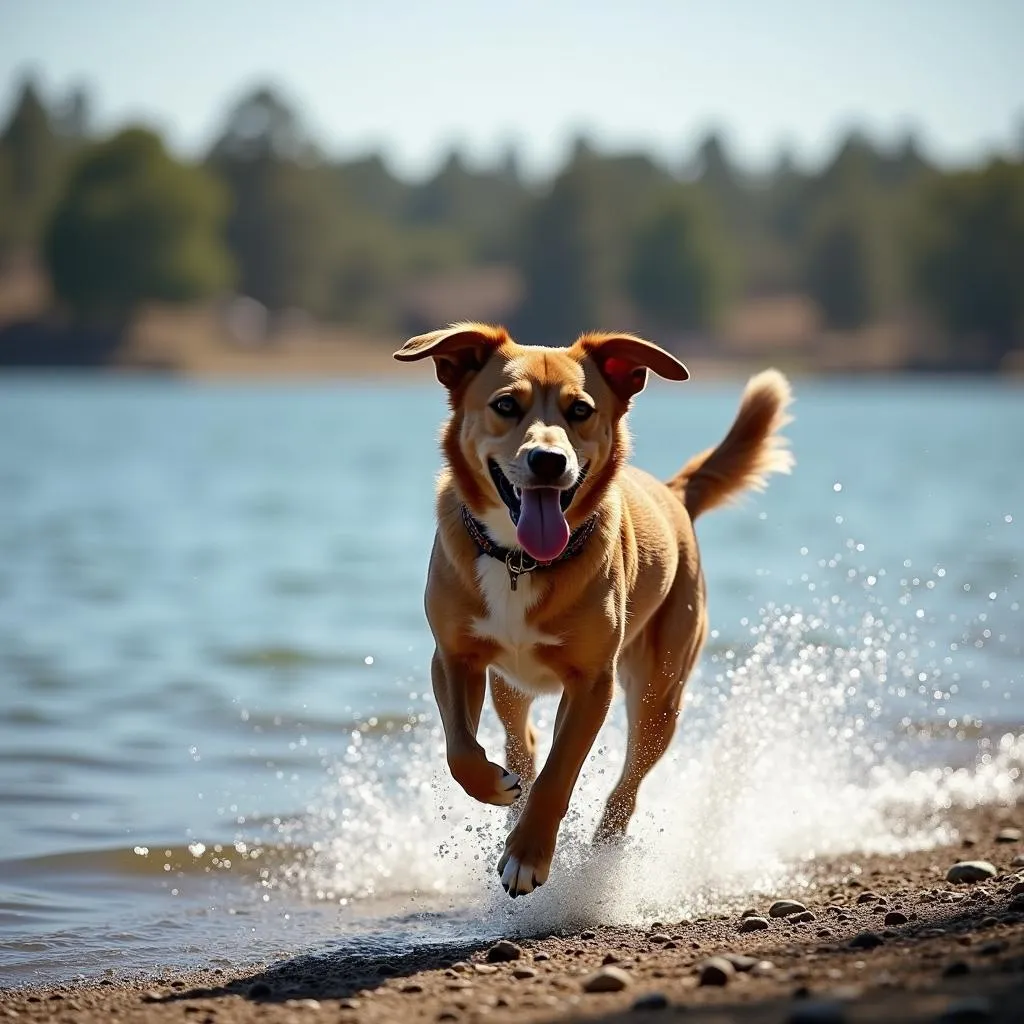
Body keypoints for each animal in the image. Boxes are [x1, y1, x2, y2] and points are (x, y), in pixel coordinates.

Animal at [391, 319, 790, 897]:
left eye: (580, 409)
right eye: (506, 404)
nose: (548, 460)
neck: (521, 561)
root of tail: (674, 493)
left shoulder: (592, 682)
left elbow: (560, 772)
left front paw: (528, 856)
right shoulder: (453, 657)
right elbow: (460, 748)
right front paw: (496, 789)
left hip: (659, 694)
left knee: (627, 784)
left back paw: (603, 852)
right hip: (510, 686)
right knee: (522, 740)